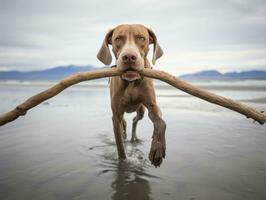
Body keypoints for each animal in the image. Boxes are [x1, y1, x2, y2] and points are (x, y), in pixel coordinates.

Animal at [96, 23, 166, 167]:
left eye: (141, 38)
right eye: (118, 39)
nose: (129, 57)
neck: (131, 82)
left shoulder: (152, 106)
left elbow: (161, 123)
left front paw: (157, 149)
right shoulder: (116, 114)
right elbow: (120, 147)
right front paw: (123, 162)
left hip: (141, 110)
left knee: (135, 120)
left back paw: (134, 138)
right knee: (124, 122)